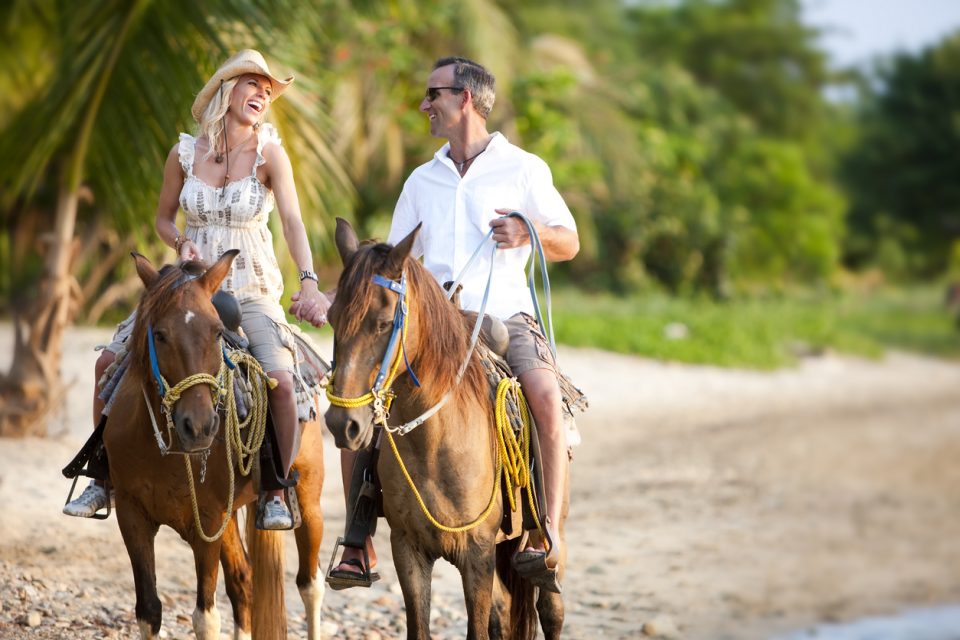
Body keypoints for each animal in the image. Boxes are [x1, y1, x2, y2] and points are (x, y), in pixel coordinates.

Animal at [101, 251, 326, 640]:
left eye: (217, 332)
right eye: (159, 334)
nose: (200, 427)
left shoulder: (205, 523)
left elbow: (205, 618)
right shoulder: (132, 517)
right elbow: (148, 610)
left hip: (309, 501)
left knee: (310, 584)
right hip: (231, 517)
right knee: (243, 582)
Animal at [326, 218, 568, 636]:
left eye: (385, 323)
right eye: (330, 318)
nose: (343, 423)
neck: (435, 443)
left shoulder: (477, 554)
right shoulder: (408, 550)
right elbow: (421, 628)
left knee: (551, 610)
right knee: (503, 612)